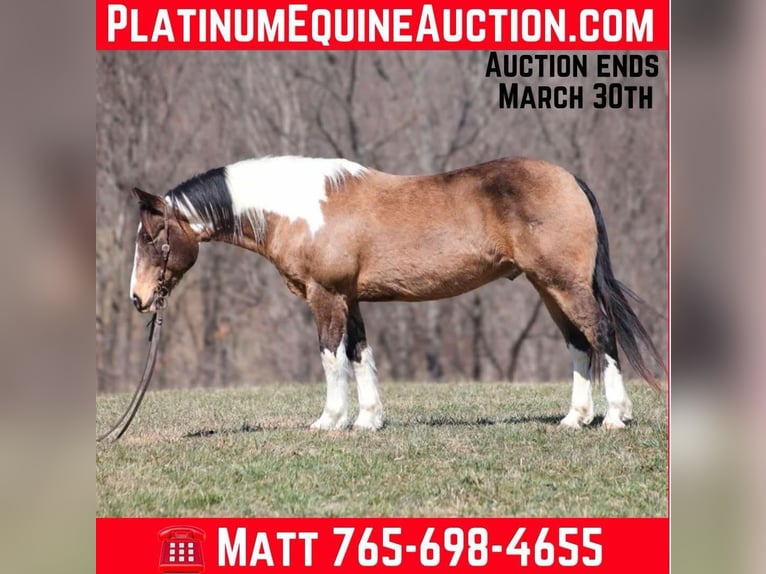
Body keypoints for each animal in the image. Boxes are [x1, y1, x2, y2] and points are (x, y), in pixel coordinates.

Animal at [129, 155, 665, 431]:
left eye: (152, 236)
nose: (138, 298)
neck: (299, 208)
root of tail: (569, 179)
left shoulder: (326, 296)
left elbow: (331, 357)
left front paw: (330, 420)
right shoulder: (350, 299)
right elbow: (360, 355)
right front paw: (368, 420)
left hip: (564, 284)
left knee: (601, 334)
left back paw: (615, 417)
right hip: (548, 288)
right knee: (578, 343)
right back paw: (576, 418)